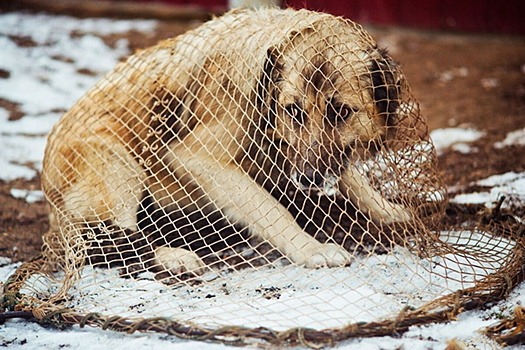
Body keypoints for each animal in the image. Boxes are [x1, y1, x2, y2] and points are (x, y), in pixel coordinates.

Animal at [42, 8, 410, 274]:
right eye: (293, 110)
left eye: (342, 112)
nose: (307, 180)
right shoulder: (195, 157)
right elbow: (270, 209)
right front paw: (311, 249)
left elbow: (353, 177)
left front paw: (389, 211)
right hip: (119, 164)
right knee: (106, 244)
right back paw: (173, 257)